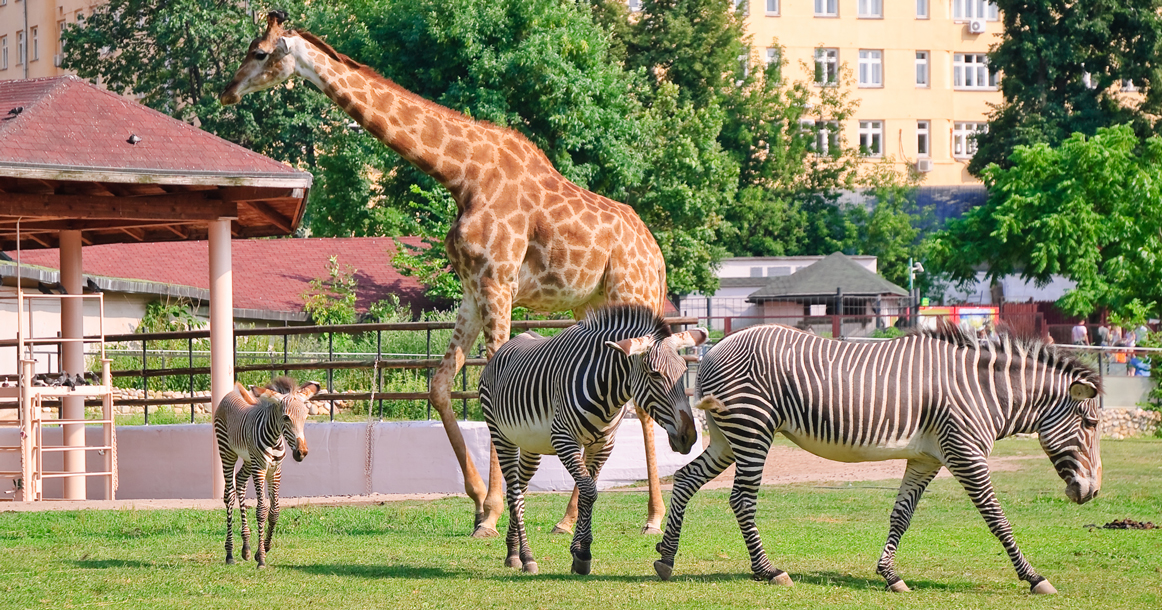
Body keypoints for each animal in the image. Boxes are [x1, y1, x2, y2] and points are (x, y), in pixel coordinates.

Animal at [214, 376, 320, 567]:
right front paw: (261, 558)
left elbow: (274, 511)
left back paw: (246, 548)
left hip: (248, 459)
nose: (301, 453)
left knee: (240, 481)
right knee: (229, 495)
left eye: (305, 417)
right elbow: (261, 511)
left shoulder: (275, 471)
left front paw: (263, 548)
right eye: (286, 418)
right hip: (227, 452)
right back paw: (230, 553)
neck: (275, 439)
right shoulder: (260, 469)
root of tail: (232, 392)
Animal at [219, 13, 673, 536]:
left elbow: (493, 380)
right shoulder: (473, 289)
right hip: (591, 305)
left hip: (631, 294)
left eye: (258, 52)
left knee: (640, 397)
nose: (226, 92)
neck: (462, 175)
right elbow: (439, 386)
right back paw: (568, 519)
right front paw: (479, 502)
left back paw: (653, 517)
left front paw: (495, 512)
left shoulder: (498, 282)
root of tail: (657, 257)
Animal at [476, 304, 701, 576]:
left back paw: (512, 552)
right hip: (501, 436)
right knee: (516, 494)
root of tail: (503, 349)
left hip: (531, 446)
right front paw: (583, 553)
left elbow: (586, 493)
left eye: (684, 372)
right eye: (655, 374)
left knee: (520, 488)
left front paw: (578, 553)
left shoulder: (603, 445)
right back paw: (527, 556)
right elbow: (589, 492)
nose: (689, 436)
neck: (607, 391)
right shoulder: (563, 439)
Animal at [655, 325, 1096, 592]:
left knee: (686, 479)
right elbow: (997, 517)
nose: (1091, 493)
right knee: (742, 499)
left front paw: (890, 575)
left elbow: (901, 515)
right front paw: (1034, 577)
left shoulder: (926, 459)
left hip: (727, 437)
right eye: (1090, 423)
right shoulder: (965, 453)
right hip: (753, 429)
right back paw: (769, 570)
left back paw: (666, 557)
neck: (984, 393)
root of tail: (714, 349)